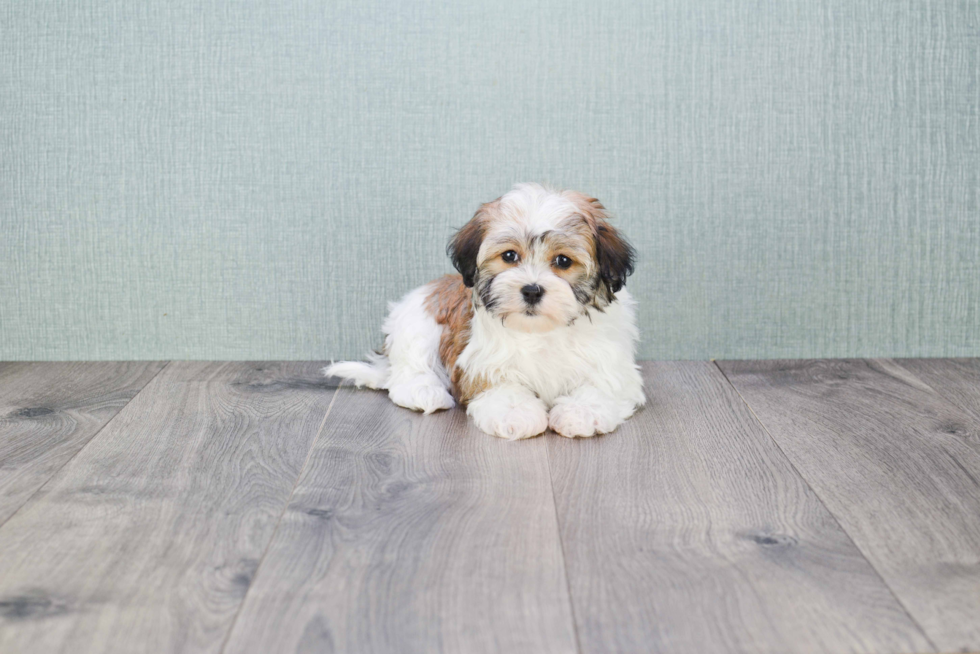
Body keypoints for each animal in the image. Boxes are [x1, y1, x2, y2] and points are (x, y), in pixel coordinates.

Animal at [326, 182, 648, 444]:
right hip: (419, 321)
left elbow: (601, 385)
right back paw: (424, 391)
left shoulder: (610, 361)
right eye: (509, 256)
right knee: (408, 371)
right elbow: (501, 386)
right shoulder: (482, 362)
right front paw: (515, 412)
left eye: (563, 261)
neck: (541, 331)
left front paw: (581, 412)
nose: (531, 290)